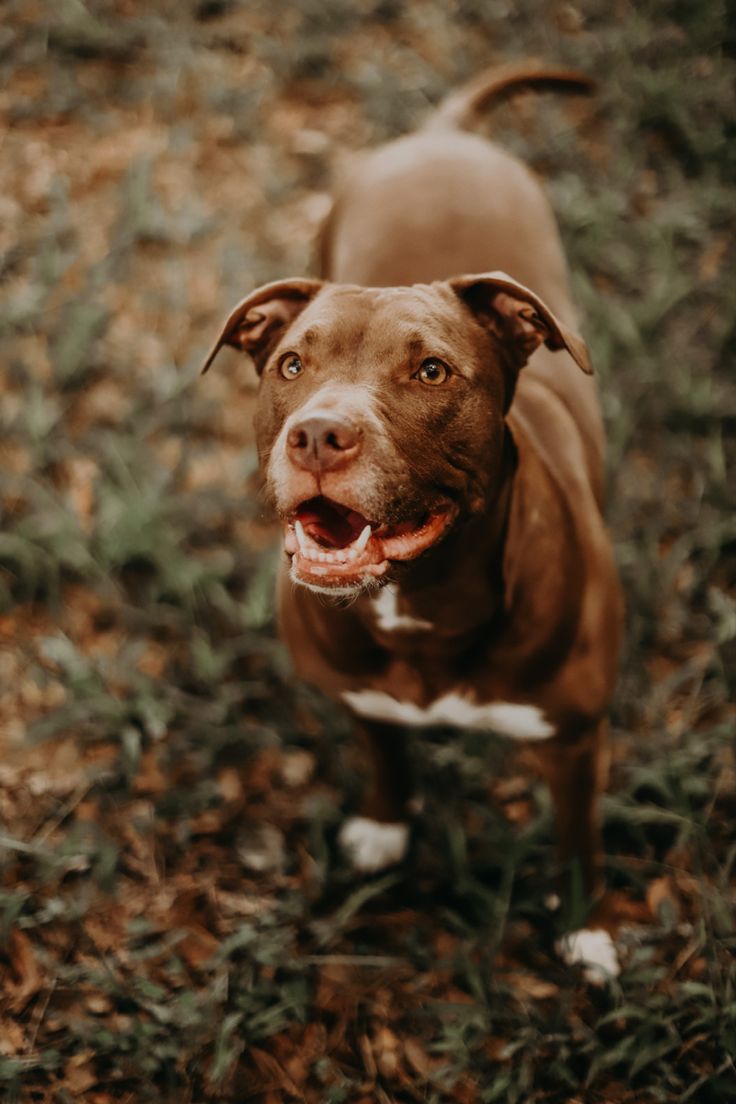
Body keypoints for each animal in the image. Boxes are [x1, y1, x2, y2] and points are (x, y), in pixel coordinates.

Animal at [204, 64, 626, 980]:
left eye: (432, 371)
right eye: (291, 363)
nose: (318, 434)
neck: (421, 608)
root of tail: (446, 133)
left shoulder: (577, 739)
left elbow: (579, 842)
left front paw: (584, 933)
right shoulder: (360, 696)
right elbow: (385, 753)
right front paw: (386, 826)